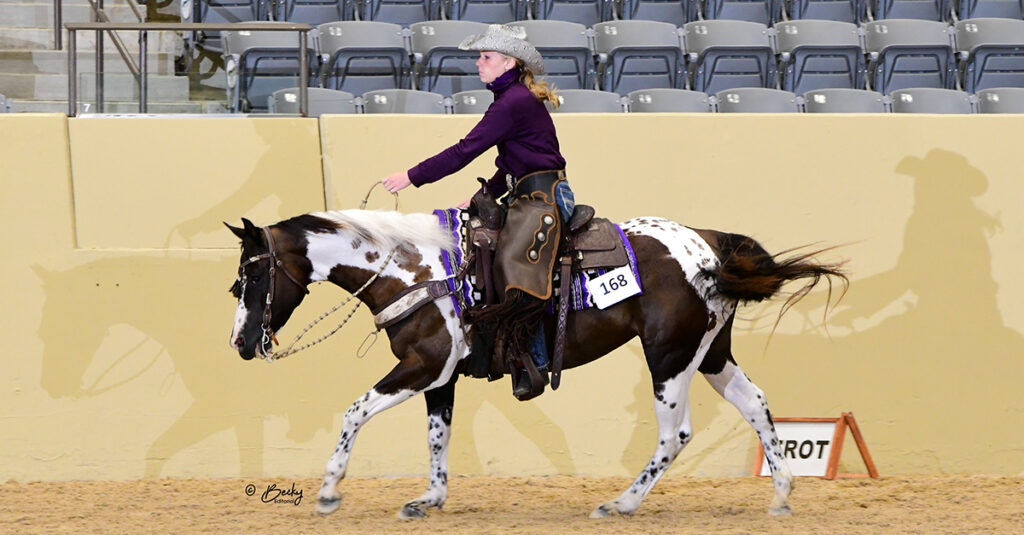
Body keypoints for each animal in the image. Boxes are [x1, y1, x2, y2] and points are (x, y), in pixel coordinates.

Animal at [228, 207, 843, 516]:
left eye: (250, 276)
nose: (239, 343)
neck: (416, 270)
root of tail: (709, 243)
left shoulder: (422, 366)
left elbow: (355, 410)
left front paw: (329, 490)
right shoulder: (440, 376)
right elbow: (437, 435)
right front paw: (430, 498)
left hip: (668, 356)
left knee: (677, 434)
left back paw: (621, 503)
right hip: (710, 352)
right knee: (756, 404)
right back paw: (782, 495)